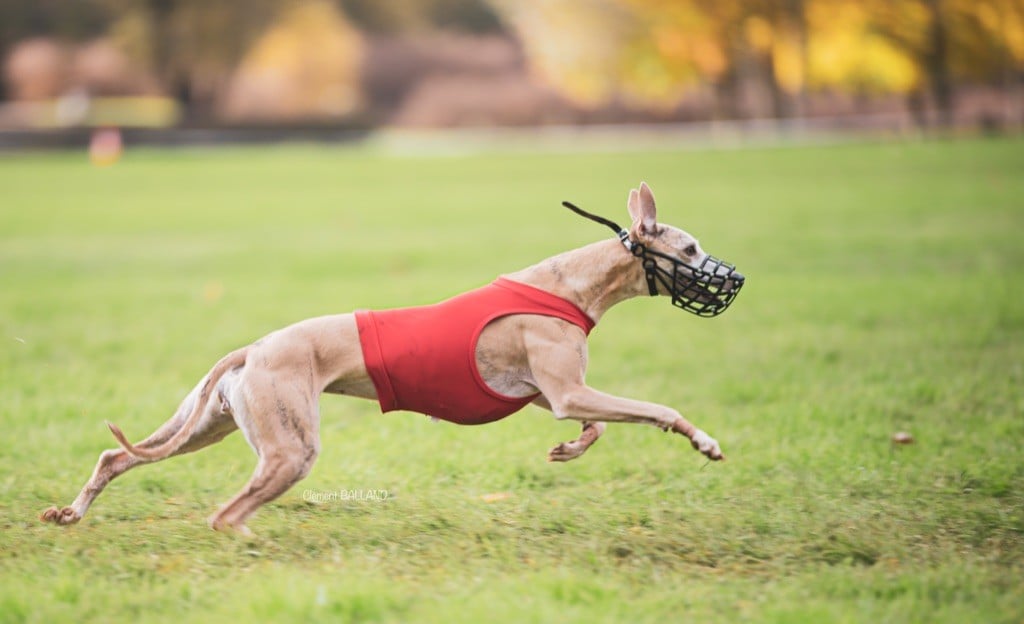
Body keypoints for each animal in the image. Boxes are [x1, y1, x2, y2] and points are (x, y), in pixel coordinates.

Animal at [39, 181, 745, 536]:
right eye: (690, 247)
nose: (734, 278)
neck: (569, 283)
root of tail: (255, 347)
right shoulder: (566, 390)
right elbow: (656, 408)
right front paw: (705, 442)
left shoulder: (554, 392)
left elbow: (592, 425)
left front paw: (568, 450)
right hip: (290, 449)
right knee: (224, 515)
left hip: (205, 423)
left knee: (117, 456)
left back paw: (70, 512)